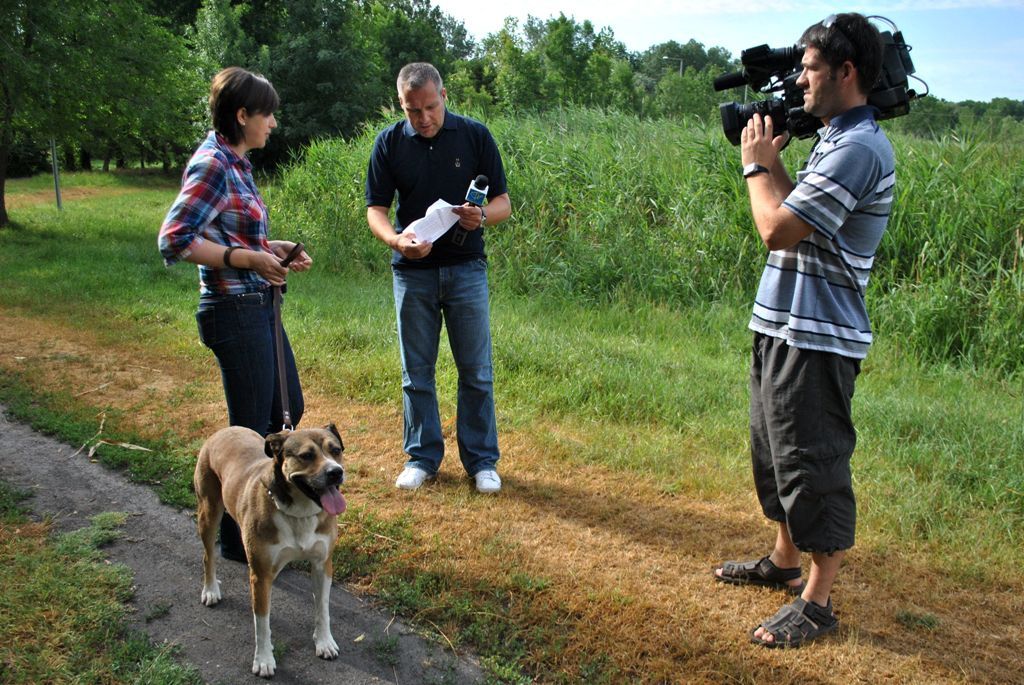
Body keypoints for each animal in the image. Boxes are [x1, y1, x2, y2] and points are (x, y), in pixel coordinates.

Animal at [193, 424, 347, 678]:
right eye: (306, 455)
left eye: (336, 450)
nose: (336, 472)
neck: (299, 512)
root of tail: (225, 430)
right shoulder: (261, 576)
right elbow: (262, 623)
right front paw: (264, 659)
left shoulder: (322, 564)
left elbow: (323, 608)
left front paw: (324, 642)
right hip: (209, 511)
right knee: (208, 556)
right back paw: (210, 590)